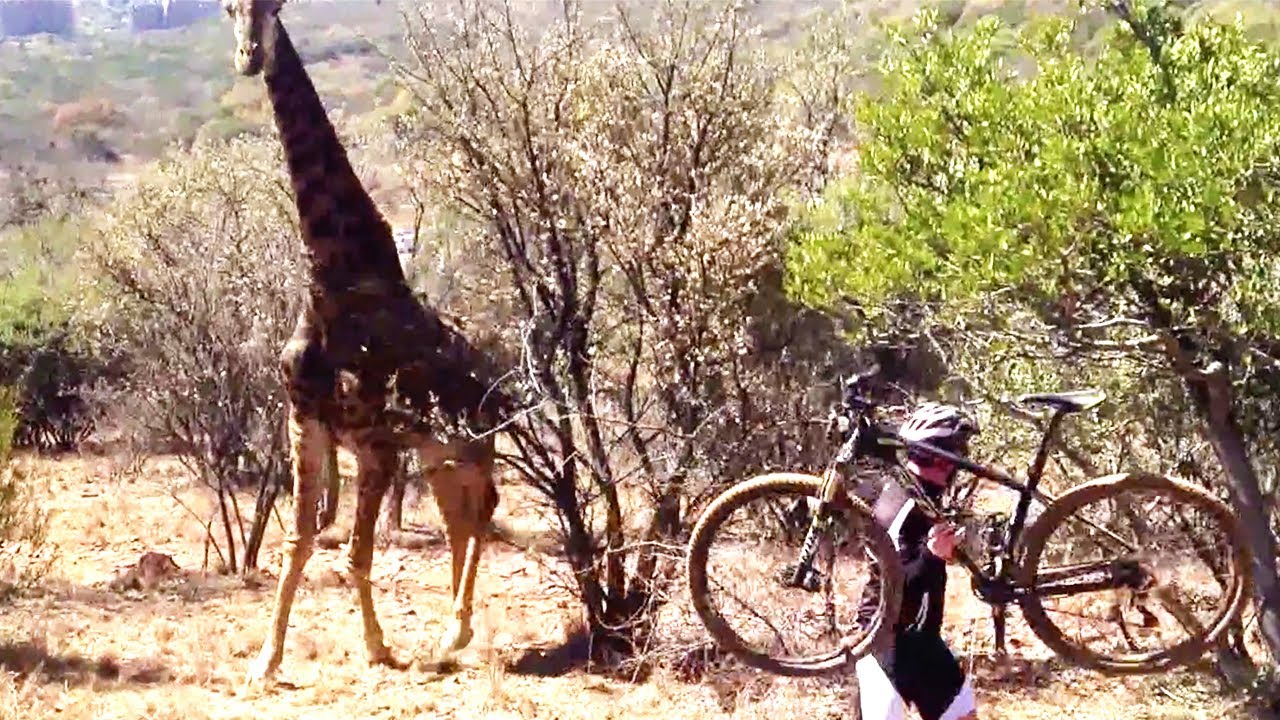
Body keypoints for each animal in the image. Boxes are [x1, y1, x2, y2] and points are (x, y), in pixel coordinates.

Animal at [222, 0, 512, 681]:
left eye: (273, 8)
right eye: (227, 8)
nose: (249, 57)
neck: (331, 274)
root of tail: (500, 375)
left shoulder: (375, 440)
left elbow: (356, 553)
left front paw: (378, 648)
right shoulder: (307, 422)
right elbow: (298, 540)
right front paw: (266, 661)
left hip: (474, 443)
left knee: (484, 511)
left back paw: (457, 630)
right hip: (437, 453)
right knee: (460, 520)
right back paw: (448, 634)